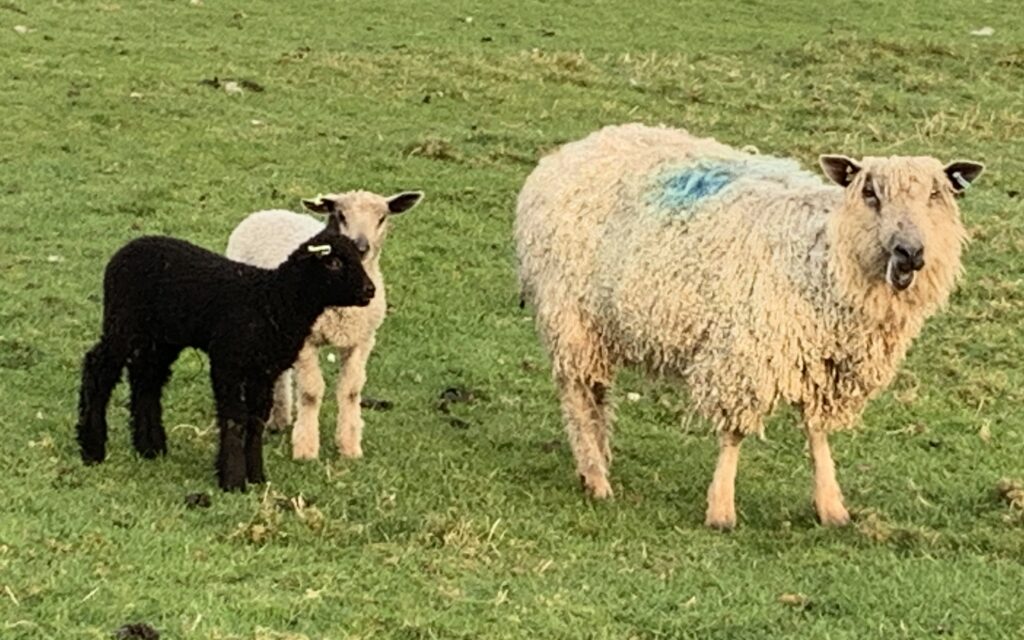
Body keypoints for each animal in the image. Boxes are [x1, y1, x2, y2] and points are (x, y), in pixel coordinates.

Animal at [75, 215, 374, 489]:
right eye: (333, 263)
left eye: (359, 259)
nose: (369, 290)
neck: (273, 303)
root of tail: (127, 248)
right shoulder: (228, 362)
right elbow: (234, 418)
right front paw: (232, 480)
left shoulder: (263, 372)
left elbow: (255, 421)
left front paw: (256, 476)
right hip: (123, 322)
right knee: (98, 369)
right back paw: (92, 447)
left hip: (161, 338)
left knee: (146, 381)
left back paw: (151, 448)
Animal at [228, 189, 423, 458]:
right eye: (340, 215)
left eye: (382, 217)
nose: (361, 247)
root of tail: (265, 213)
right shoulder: (307, 340)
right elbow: (311, 392)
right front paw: (306, 449)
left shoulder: (362, 340)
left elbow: (350, 391)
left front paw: (350, 446)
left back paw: (279, 418)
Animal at [516, 122, 987, 528]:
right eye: (869, 193)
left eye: (937, 194)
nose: (910, 253)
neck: (823, 253)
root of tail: (572, 150)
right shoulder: (743, 353)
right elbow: (734, 433)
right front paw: (721, 509)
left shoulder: (824, 364)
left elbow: (817, 434)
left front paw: (831, 507)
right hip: (570, 315)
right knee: (577, 394)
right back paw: (596, 477)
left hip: (598, 324)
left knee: (596, 393)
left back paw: (595, 460)